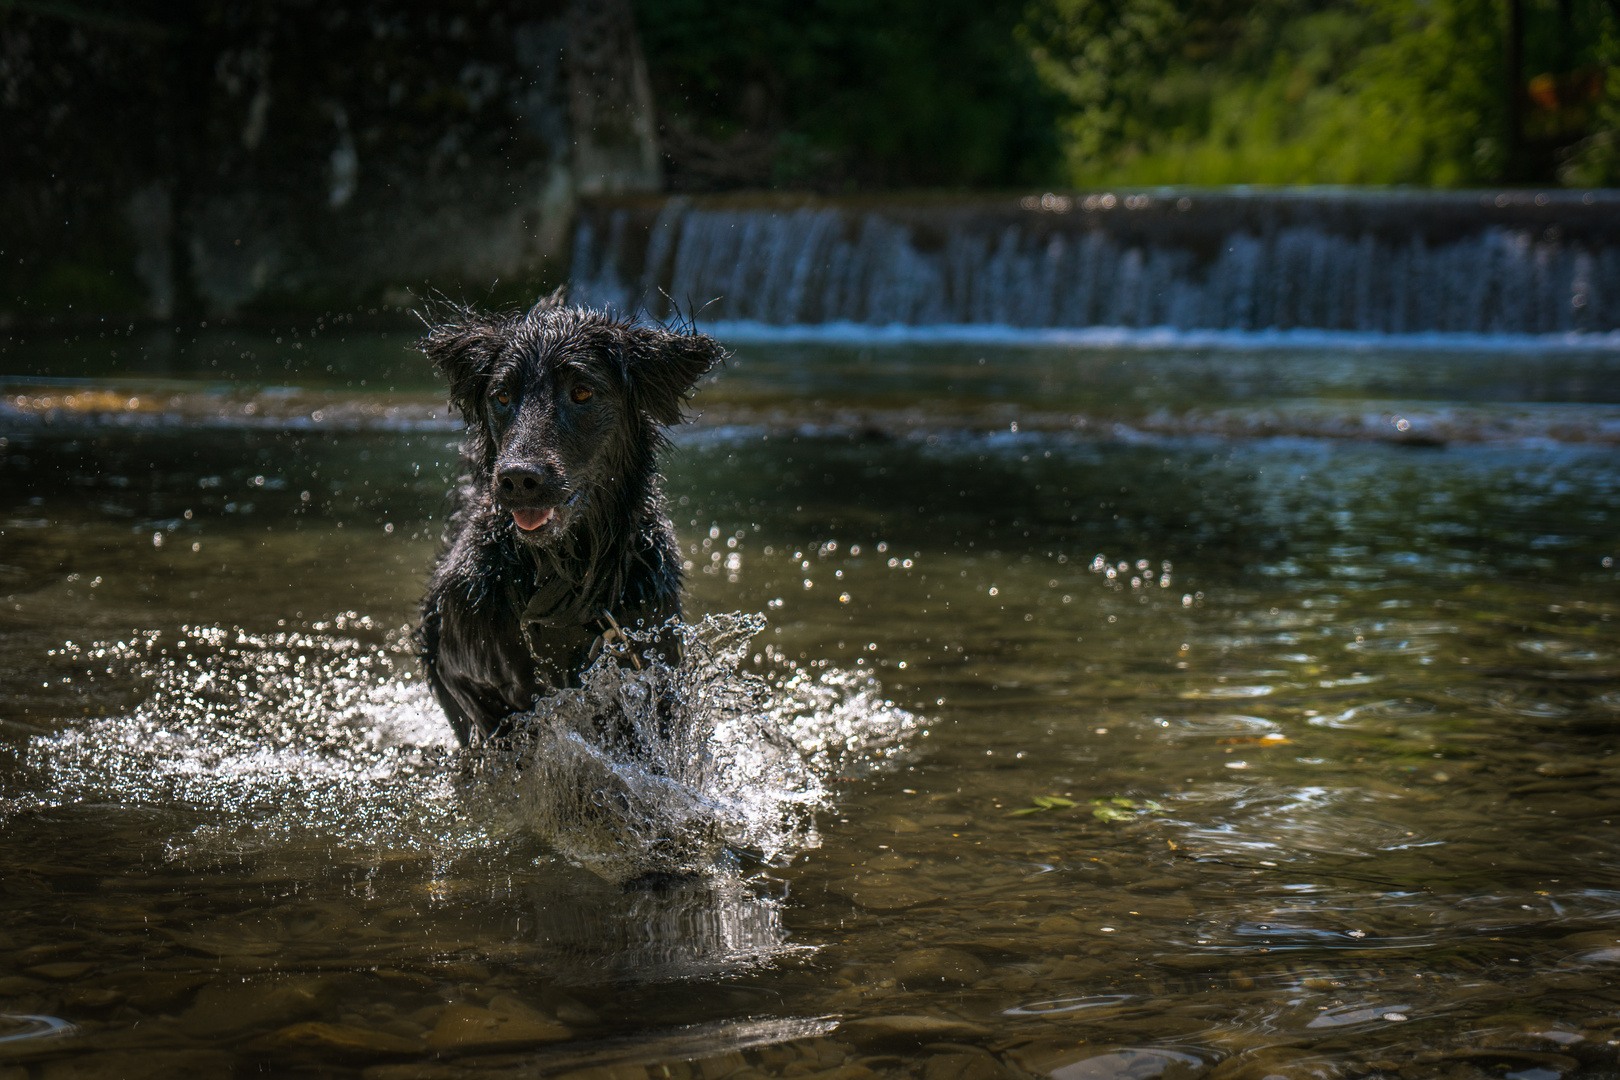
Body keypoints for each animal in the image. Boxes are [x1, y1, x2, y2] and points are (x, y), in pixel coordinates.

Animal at [417, 299, 722, 748]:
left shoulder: (654, 675)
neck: (564, 574)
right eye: (501, 395)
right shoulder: (464, 674)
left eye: (581, 392)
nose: (517, 478)